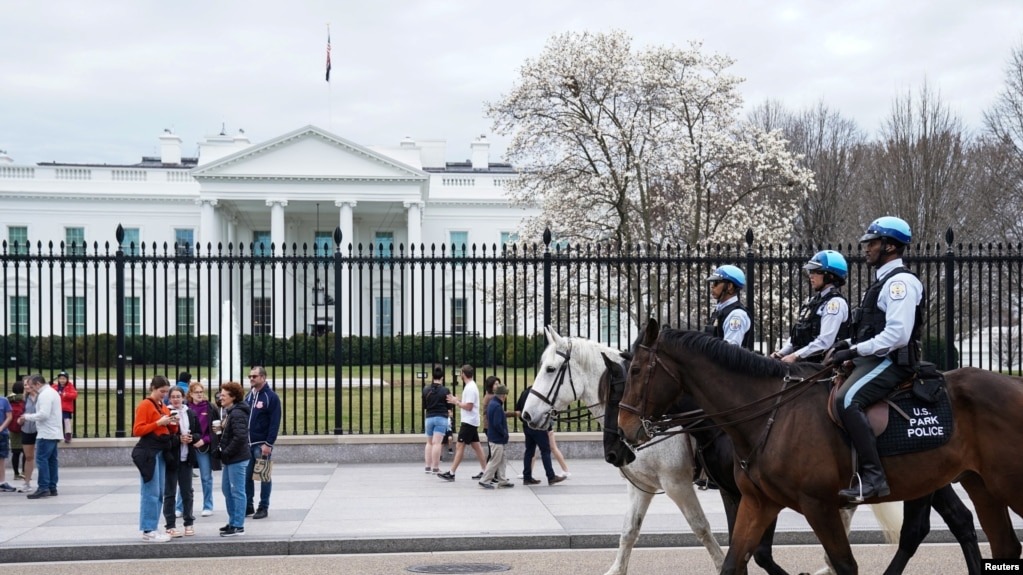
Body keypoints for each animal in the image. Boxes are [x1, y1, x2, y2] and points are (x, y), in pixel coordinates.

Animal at [519, 325, 896, 572]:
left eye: (550, 369)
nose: (526, 414)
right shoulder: (646, 487)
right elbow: (629, 532)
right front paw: (616, 569)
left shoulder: (684, 484)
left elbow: (705, 529)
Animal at [613, 317, 1023, 572]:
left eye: (636, 371)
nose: (623, 439)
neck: (769, 414)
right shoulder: (757, 501)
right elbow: (738, 559)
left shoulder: (817, 504)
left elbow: (841, 563)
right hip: (974, 484)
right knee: (988, 540)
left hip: (1001, 484)